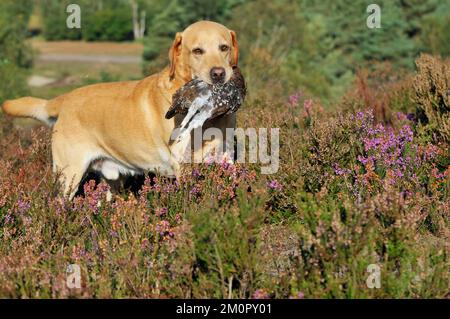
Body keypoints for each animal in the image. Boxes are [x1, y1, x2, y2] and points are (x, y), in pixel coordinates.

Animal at [0, 20, 239, 199]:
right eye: (197, 51)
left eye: (224, 47)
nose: (218, 74)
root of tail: (66, 98)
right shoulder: (183, 165)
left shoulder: (225, 156)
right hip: (69, 175)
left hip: (110, 183)